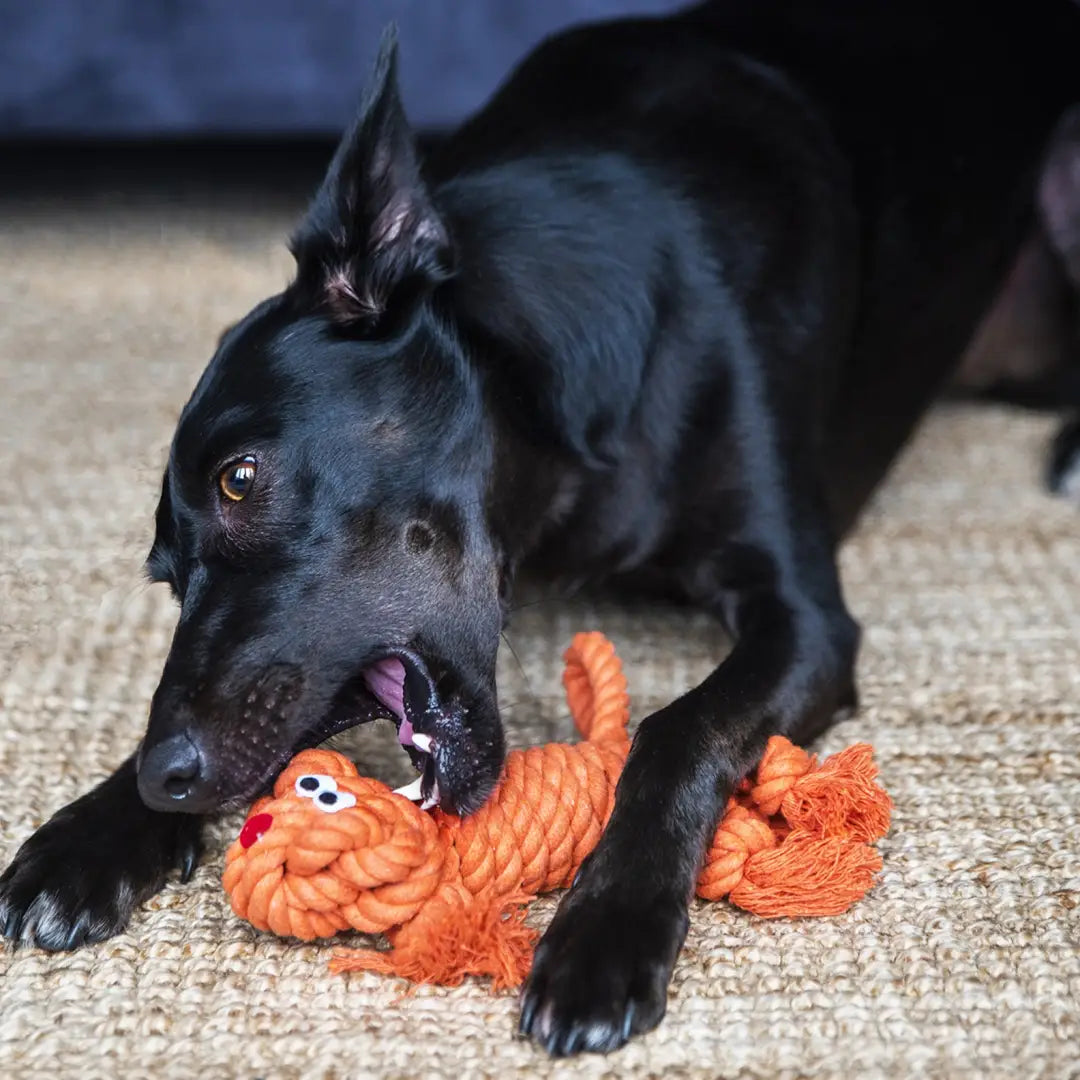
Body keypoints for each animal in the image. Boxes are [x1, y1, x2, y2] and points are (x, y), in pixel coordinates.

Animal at [6, 0, 1080, 1058]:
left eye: (239, 479)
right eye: (166, 575)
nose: (167, 777)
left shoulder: (805, 615)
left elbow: (679, 726)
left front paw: (607, 928)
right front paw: (92, 833)